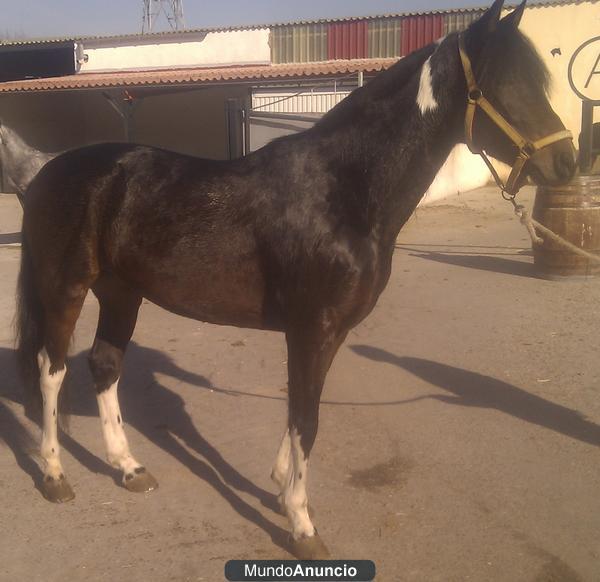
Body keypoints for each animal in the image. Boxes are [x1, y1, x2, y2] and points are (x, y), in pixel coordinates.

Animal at [15, 0, 576, 560]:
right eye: (505, 84)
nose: (567, 164)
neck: (342, 192)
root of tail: (47, 172)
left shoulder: (329, 332)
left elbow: (300, 410)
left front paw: (281, 488)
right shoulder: (311, 328)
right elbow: (307, 418)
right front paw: (303, 526)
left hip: (122, 293)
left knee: (104, 364)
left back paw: (129, 469)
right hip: (65, 288)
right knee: (51, 369)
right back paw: (55, 474)